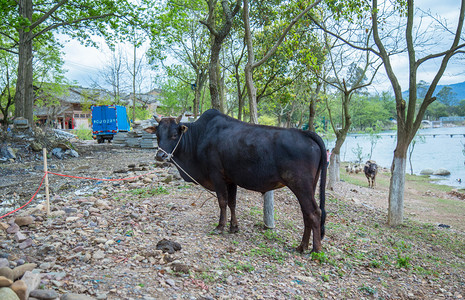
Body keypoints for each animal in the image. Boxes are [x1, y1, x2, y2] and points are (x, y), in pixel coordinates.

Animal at [144, 109, 326, 252]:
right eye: (157, 135)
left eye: (174, 135)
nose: (160, 156)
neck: (199, 137)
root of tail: (305, 133)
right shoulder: (231, 179)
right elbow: (232, 203)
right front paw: (234, 227)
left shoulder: (217, 175)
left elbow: (223, 201)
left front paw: (220, 226)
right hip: (308, 187)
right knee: (306, 213)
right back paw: (302, 246)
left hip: (300, 185)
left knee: (314, 212)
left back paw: (315, 250)